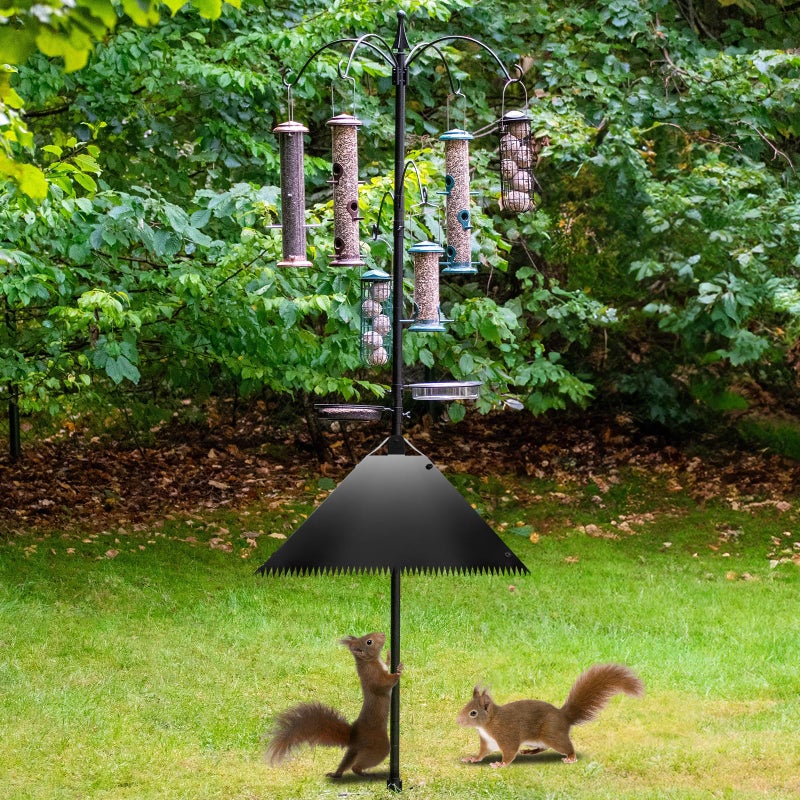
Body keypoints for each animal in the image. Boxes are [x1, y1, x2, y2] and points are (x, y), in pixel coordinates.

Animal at [265, 632, 402, 778]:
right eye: (369, 642)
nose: (382, 634)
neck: (369, 661)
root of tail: (354, 736)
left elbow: (386, 665)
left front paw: (388, 656)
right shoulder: (373, 676)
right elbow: (383, 684)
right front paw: (398, 672)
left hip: (354, 750)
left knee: (346, 762)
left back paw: (336, 774)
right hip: (378, 747)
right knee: (356, 766)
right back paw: (363, 773)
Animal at [457, 663, 643, 767]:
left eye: (473, 713)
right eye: (466, 706)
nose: (458, 720)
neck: (488, 724)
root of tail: (564, 717)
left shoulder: (507, 735)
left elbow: (509, 752)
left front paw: (500, 763)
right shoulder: (487, 742)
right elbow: (482, 753)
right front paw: (472, 758)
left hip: (552, 734)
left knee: (566, 746)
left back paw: (571, 758)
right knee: (543, 747)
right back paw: (530, 751)